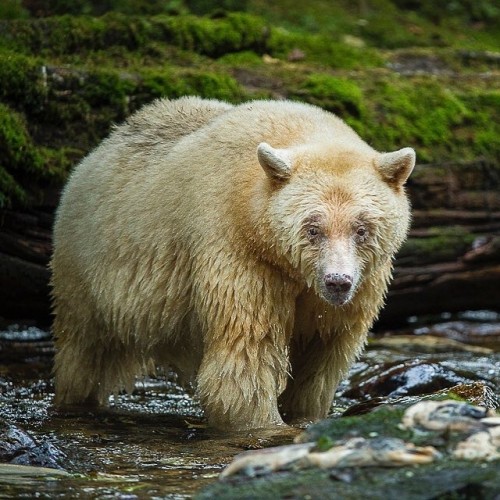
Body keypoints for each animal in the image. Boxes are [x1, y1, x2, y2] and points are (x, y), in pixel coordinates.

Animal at [52, 96, 416, 430]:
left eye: (362, 228)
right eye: (313, 228)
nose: (337, 281)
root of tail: (101, 147)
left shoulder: (357, 289)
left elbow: (321, 356)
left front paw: (304, 415)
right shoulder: (240, 251)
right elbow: (247, 348)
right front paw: (264, 424)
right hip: (89, 266)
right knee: (85, 351)